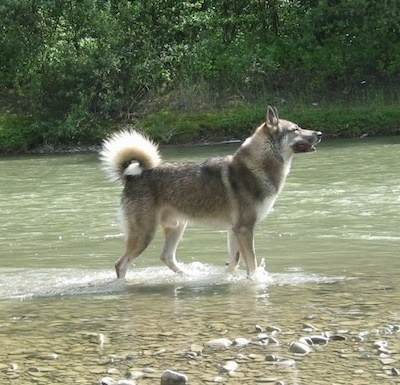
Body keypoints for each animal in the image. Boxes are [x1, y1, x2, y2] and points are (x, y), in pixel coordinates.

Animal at [99, 106, 322, 278]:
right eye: (295, 129)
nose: (320, 134)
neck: (258, 166)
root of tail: (132, 176)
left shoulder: (234, 230)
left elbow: (235, 261)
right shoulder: (245, 229)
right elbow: (252, 262)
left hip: (177, 227)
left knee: (166, 257)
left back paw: (187, 276)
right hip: (145, 234)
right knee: (121, 264)